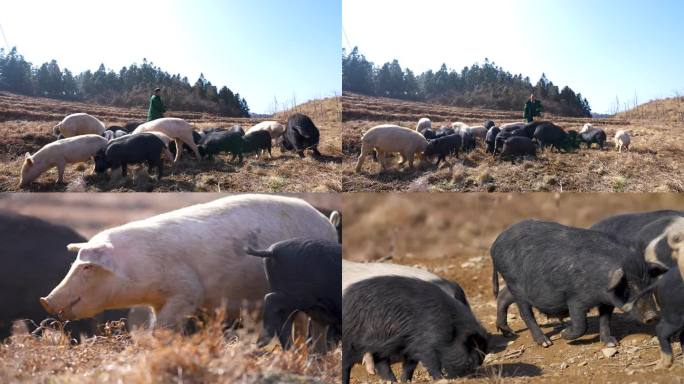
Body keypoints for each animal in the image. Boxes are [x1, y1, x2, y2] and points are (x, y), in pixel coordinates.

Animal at [342, 276, 486, 384]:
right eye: (471, 346)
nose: (476, 373)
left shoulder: (411, 345)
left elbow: (410, 365)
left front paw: (405, 381)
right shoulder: (424, 343)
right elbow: (430, 360)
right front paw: (440, 378)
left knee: (380, 361)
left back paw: (392, 381)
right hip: (352, 340)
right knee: (347, 363)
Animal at [492, 219, 668, 348]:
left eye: (649, 285)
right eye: (630, 287)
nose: (653, 316)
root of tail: (494, 245)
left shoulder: (606, 301)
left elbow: (605, 320)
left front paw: (611, 343)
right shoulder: (575, 299)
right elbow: (581, 325)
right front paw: (564, 334)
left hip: (515, 287)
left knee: (503, 296)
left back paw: (509, 333)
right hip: (516, 286)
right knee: (525, 313)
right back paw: (546, 343)